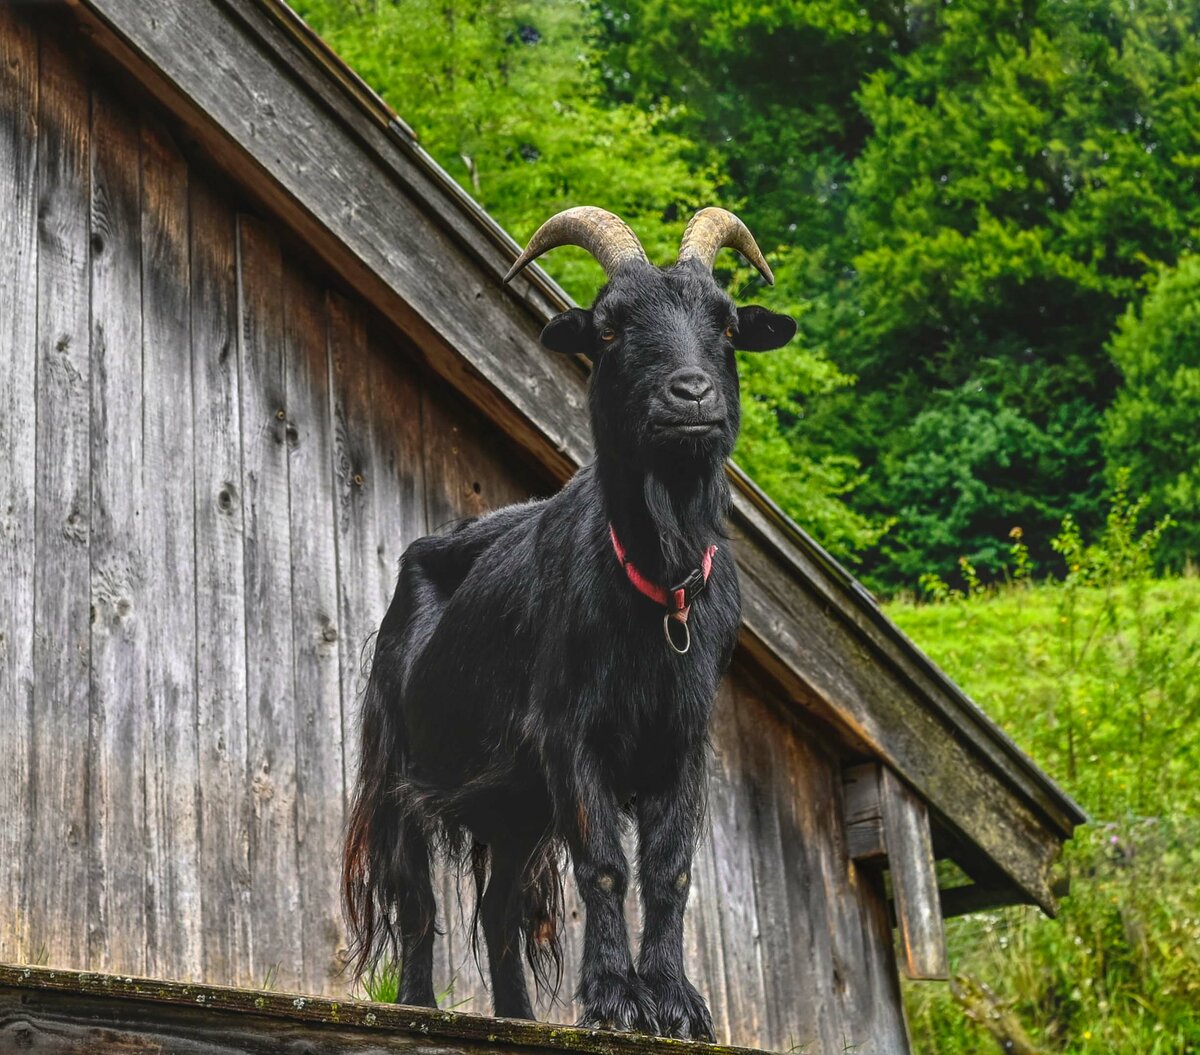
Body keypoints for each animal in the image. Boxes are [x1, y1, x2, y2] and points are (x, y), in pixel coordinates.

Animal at [343, 206, 796, 1039]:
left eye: (725, 322)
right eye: (611, 328)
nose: (691, 394)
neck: (658, 590)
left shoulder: (684, 743)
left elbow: (670, 868)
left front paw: (675, 1001)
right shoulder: (571, 735)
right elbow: (606, 865)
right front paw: (615, 997)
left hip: (516, 803)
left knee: (497, 908)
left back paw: (520, 1015)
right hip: (400, 768)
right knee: (416, 897)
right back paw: (419, 1004)